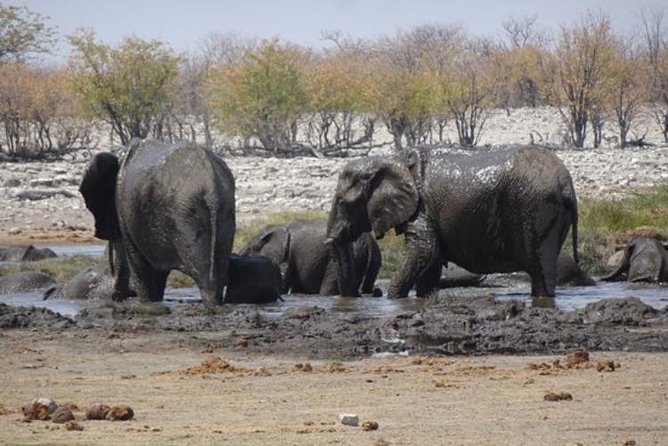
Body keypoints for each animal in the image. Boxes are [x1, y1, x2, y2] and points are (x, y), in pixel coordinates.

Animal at [80, 139, 236, 306]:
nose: (115, 297)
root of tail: (211, 187)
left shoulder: (124, 208)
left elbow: (138, 264)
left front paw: (146, 304)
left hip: (185, 217)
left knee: (203, 274)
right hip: (224, 211)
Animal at [328, 146, 580, 300]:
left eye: (342, 202)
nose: (373, 293)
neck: (393, 159)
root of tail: (567, 185)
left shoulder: (422, 207)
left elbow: (423, 250)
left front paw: (395, 298)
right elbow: (430, 263)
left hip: (537, 208)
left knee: (540, 269)